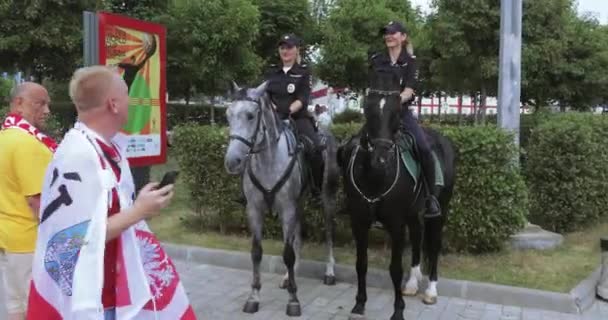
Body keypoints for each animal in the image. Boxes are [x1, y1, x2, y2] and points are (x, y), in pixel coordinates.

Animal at [224, 81, 340, 316]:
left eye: (250, 115)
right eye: (228, 115)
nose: (232, 161)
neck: (268, 160)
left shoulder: (287, 209)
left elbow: (287, 253)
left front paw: (293, 301)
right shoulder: (255, 210)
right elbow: (257, 252)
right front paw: (254, 297)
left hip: (327, 198)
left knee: (328, 232)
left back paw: (329, 272)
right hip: (299, 203)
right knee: (298, 236)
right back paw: (289, 277)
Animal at [338, 72, 456, 320]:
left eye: (396, 111)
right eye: (368, 108)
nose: (381, 159)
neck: (376, 176)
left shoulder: (395, 223)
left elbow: (395, 269)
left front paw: (398, 310)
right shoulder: (359, 221)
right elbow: (361, 263)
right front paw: (359, 304)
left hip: (440, 210)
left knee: (434, 245)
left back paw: (431, 291)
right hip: (413, 214)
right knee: (418, 238)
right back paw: (411, 284)